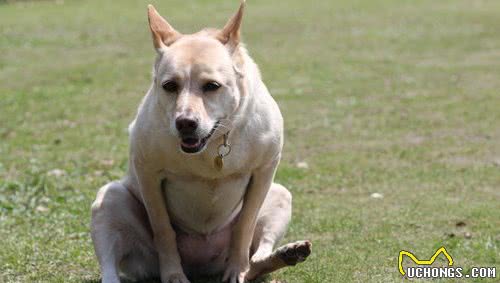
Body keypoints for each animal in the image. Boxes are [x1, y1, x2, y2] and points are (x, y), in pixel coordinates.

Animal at [89, 1, 308, 282]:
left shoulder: (264, 171)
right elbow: (163, 229)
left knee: (256, 259)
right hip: (110, 200)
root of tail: (202, 265)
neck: (213, 142)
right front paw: (173, 275)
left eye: (212, 86)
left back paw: (284, 255)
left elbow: (244, 226)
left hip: (281, 194)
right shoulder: (148, 173)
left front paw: (236, 270)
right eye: (169, 86)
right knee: (110, 266)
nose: (185, 123)